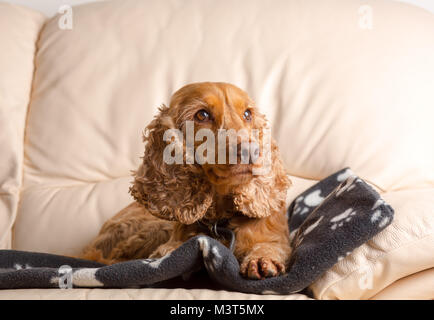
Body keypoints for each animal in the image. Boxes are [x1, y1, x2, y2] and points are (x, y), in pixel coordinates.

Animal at [81, 82, 292, 280]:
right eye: (202, 115)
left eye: (248, 114)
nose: (252, 151)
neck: (220, 219)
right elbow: (171, 249)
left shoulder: (274, 236)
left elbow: (270, 245)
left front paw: (262, 258)